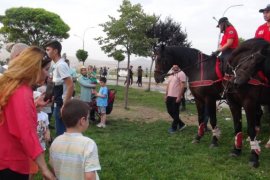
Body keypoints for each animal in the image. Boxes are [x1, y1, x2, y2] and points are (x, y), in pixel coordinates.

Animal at [225, 38, 270, 167]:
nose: (235, 82)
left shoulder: (249, 103)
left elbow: (250, 128)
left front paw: (254, 156)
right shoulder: (233, 104)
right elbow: (237, 126)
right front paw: (236, 150)